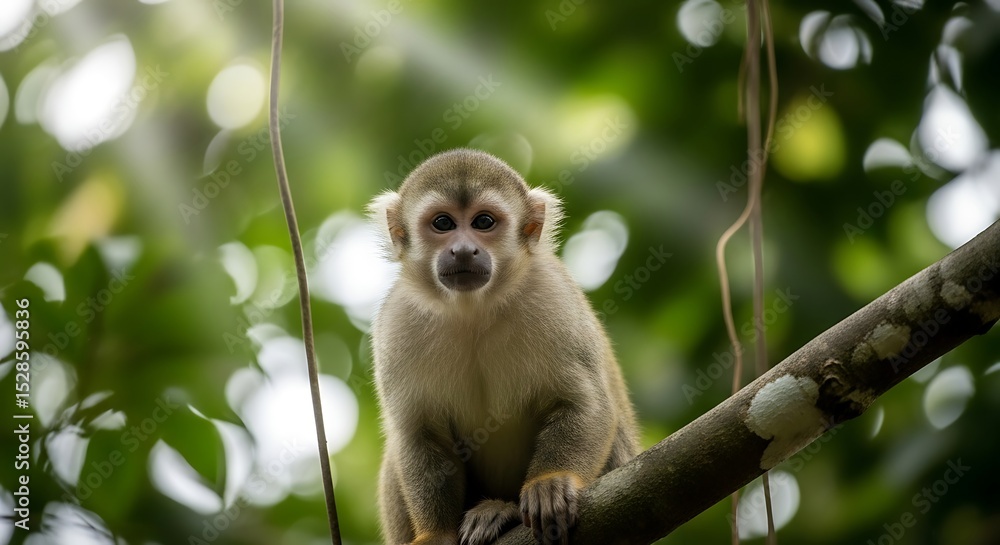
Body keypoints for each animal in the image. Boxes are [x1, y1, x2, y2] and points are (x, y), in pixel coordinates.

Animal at [368, 148, 639, 545]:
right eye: (443, 223)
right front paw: (436, 533)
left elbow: (585, 402)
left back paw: (502, 511)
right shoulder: (397, 321)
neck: (472, 310)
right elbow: (418, 434)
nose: (463, 250)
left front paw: (550, 483)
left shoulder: (552, 293)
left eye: (483, 221)